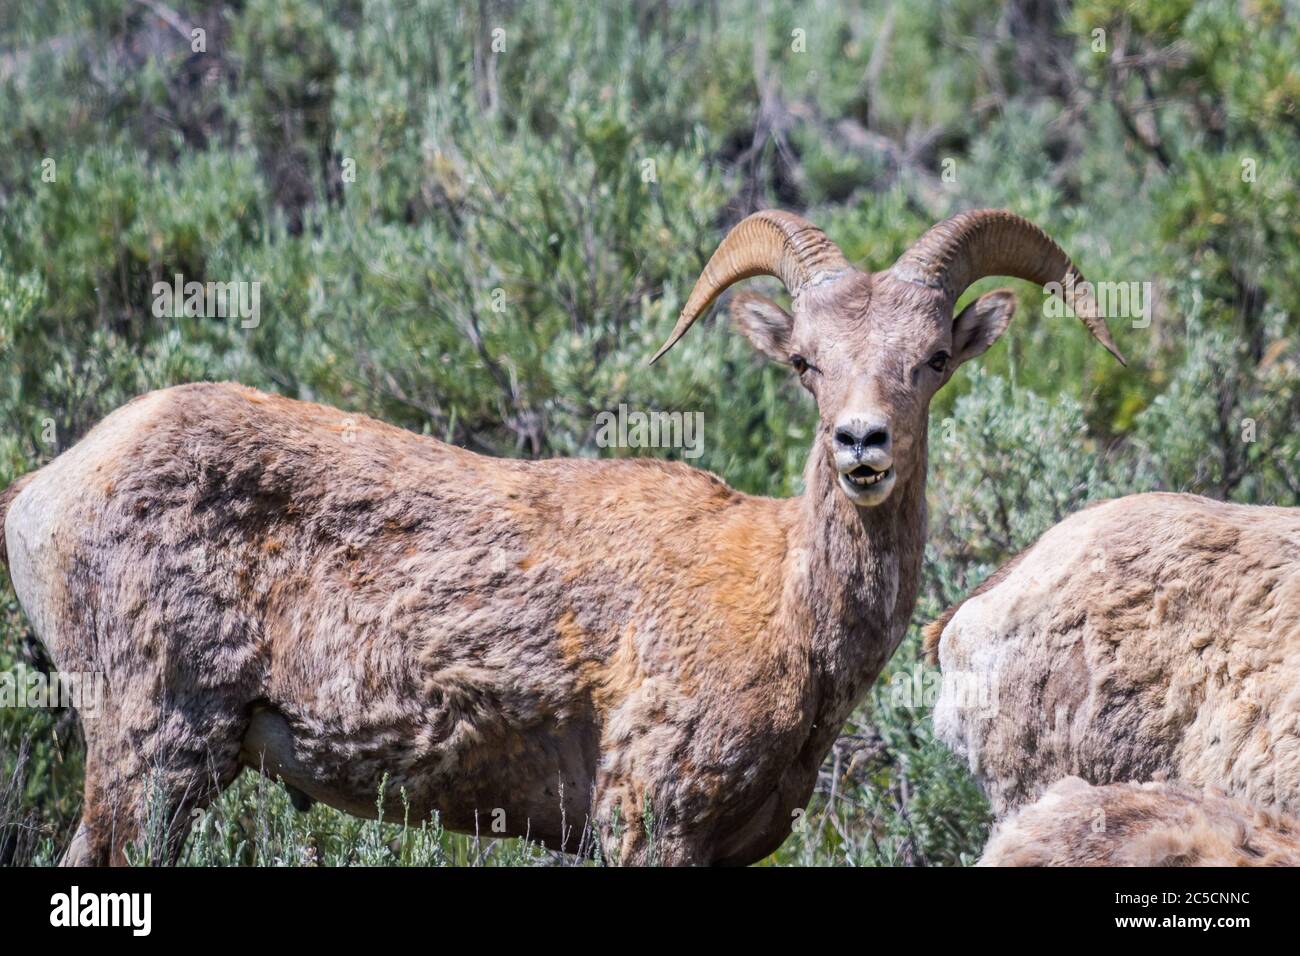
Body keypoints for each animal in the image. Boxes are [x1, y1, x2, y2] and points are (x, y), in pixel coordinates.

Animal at [0, 209, 1123, 868]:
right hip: (151, 752)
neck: (780, 606)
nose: (861, 444)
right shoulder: (647, 819)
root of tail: (42, 495)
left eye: (933, 358)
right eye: (805, 360)